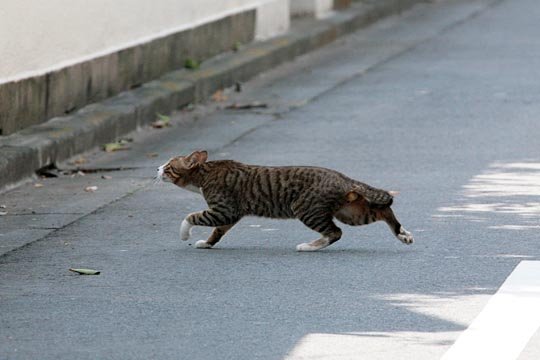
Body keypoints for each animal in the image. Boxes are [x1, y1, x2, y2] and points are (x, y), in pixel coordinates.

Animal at [156, 150, 414, 252]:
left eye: (168, 167)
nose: (156, 169)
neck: (205, 174)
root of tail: (343, 178)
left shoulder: (223, 209)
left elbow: (191, 216)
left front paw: (184, 234)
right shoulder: (230, 215)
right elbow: (217, 232)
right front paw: (207, 243)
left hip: (305, 208)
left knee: (335, 232)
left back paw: (309, 246)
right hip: (351, 211)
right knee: (383, 210)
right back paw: (403, 234)